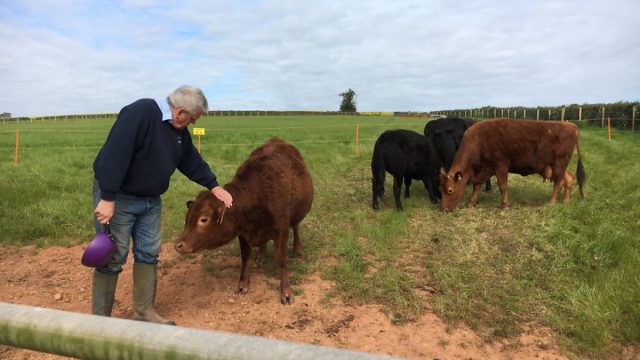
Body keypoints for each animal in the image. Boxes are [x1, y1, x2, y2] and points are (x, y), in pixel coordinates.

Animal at [174, 137, 314, 304]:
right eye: (187, 218)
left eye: (203, 219)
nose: (178, 245)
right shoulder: (243, 232)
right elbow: (245, 257)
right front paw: (242, 283)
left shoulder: (281, 229)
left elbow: (281, 259)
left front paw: (286, 291)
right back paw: (261, 256)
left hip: (297, 213)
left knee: (296, 227)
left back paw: (297, 249)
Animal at [440, 119, 584, 212]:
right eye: (440, 189)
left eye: (450, 190)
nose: (444, 209)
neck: (478, 140)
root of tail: (572, 126)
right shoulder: (482, 170)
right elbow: (477, 187)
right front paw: (471, 203)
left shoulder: (501, 166)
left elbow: (502, 186)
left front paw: (505, 205)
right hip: (557, 166)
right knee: (569, 178)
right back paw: (565, 201)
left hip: (559, 164)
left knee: (558, 183)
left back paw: (551, 202)